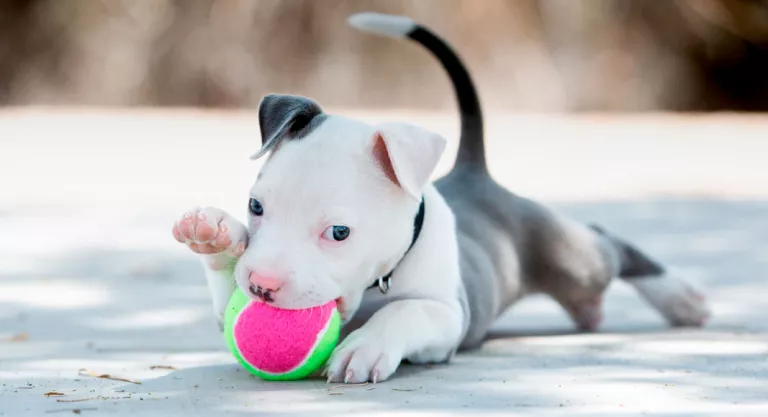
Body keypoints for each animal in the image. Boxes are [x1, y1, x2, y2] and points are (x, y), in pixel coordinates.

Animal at [171, 12, 712, 384]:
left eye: (339, 232)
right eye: (256, 207)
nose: (261, 286)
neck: (378, 282)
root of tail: (475, 171)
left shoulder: (449, 315)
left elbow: (405, 311)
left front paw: (366, 346)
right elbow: (224, 287)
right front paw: (214, 234)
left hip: (569, 257)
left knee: (604, 243)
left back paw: (682, 297)